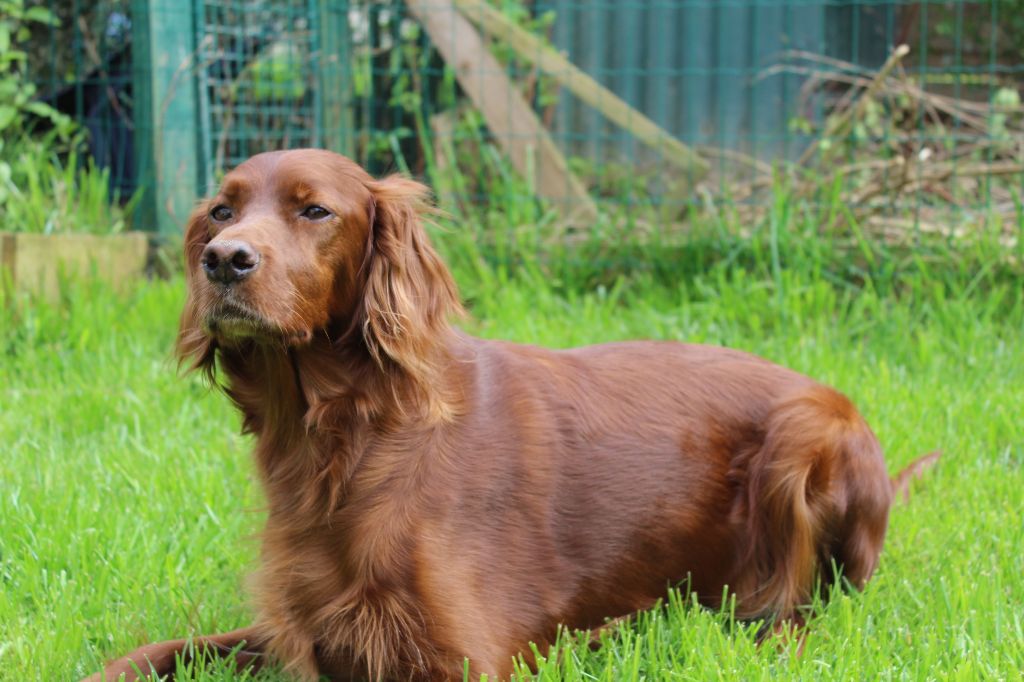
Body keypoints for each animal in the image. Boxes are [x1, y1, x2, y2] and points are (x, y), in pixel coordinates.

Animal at [86, 150, 937, 679]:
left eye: (316, 210)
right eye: (220, 209)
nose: (224, 259)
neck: (346, 436)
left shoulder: (458, 657)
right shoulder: (301, 626)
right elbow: (160, 647)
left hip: (806, 439)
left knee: (794, 617)